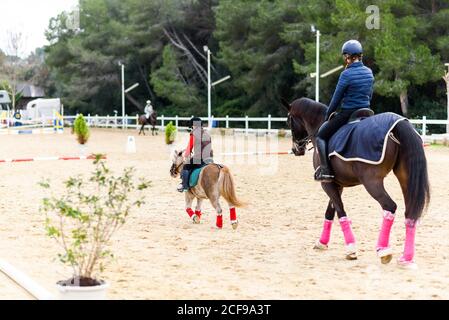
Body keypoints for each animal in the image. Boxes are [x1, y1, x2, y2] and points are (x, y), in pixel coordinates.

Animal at [282, 97, 428, 268]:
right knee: (410, 213)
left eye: (289, 121)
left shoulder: (327, 184)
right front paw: (322, 242)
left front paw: (351, 249)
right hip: (405, 178)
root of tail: (397, 125)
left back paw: (383, 250)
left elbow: (340, 211)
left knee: (389, 207)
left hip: (372, 182)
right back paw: (406, 258)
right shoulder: (337, 184)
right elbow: (330, 211)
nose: (296, 150)